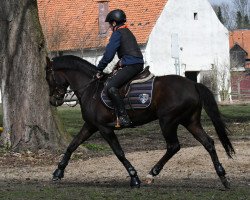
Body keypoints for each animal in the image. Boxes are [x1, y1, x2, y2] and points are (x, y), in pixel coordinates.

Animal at [45, 55, 234, 189]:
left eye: (48, 78)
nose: (53, 101)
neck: (91, 89)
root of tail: (193, 84)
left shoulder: (104, 128)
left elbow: (119, 152)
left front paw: (134, 177)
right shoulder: (91, 126)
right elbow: (72, 145)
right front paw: (58, 171)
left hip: (168, 121)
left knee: (174, 146)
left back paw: (152, 173)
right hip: (190, 122)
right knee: (208, 143)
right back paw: (223, 177)